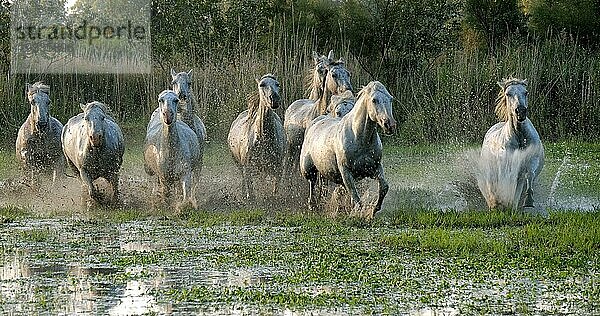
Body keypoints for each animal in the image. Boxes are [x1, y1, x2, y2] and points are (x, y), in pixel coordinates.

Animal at [300, 81, 398, 217]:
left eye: (390, 99)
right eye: (374, 100)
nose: (389, 125)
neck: (359, 139)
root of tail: (315, 122)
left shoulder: (375, 167)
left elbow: (383, 187)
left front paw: (373, 210)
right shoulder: (346, 171)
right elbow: (355, 195)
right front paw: (359, 214)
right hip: (308, 170)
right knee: (312, 186)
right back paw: (313, 207)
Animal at [478, 78, 544, 211]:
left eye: (526, 92)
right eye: (508, 94)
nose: (521, 111)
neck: (520, 138)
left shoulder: (531, 161)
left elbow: (529, 174)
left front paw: (528, 200)